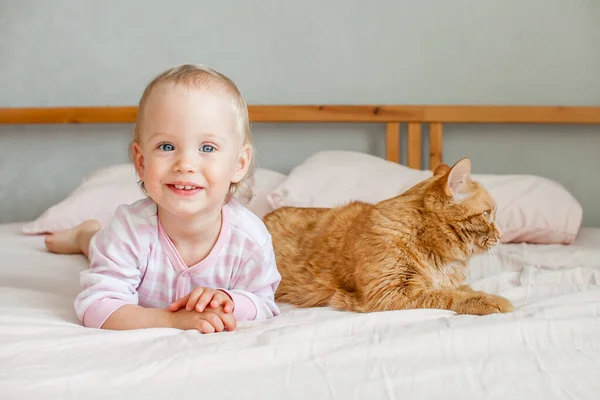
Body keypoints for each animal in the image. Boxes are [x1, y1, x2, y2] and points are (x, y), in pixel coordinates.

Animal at [264, 158, 512, 314]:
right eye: (487, 214)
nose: (501, 234)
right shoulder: (389, 292)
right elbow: (447, 296)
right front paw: (492, 300)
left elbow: (458, 290)